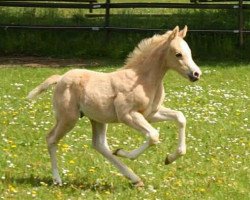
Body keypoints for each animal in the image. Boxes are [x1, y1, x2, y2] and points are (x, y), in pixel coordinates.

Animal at [27, 25, 201, 187]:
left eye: (190, 52)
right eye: (178, 54)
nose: (196, 74)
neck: (142, 80)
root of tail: (61, 78)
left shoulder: (150, 114)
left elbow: (180, 117)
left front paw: (170, 158)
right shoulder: (128, 115)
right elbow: (153, 135)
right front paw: (124, 152)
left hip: (97, 119)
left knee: (99, 145)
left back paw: (134, 178)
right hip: (68, 118)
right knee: (51, 139)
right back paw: (57, 180)